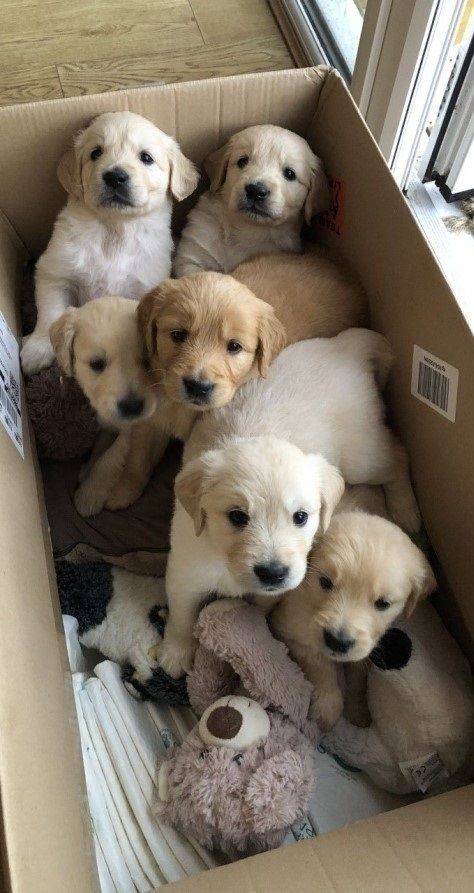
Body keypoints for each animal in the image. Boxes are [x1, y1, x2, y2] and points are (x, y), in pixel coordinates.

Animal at [22, 112, 199, 376]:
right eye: (96, 153)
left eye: (146, 157)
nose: (115, 176)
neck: (115, 230)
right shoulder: (54, 272)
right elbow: (50, 313)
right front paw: (37, 349)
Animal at [157, 328, 420, 676]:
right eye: (237, 517)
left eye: (301, 517)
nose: (274, 573)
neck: (227, 561)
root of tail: (345, 346)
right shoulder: (185, 568)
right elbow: (182, 616)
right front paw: (175, 653)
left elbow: (258, 603)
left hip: (361, 455)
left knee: (398, 454)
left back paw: (406, 510)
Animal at [270, 488, 436, 732]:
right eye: (325, 582)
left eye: (383, 603)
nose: (337, 641)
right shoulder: (294, 630)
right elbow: (321, 669)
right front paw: (327, 709)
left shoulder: (367, 645)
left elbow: (358, 677)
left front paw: (358, 710)